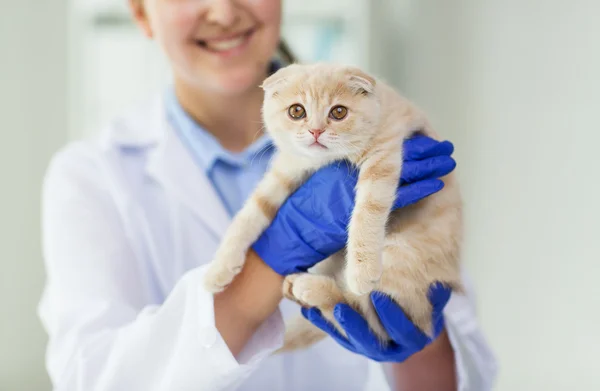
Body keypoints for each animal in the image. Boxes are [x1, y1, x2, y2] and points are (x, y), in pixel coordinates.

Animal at [203, 62, 464, 350]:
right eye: (297, 111)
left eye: (338, 112)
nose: (316, 131)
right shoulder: (287, 169)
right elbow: (250, 214)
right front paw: (219, 269)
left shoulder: (384, 155)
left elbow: (367, 212)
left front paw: (362, 269)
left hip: (401, 258)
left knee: (364, 319)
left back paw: (310, 288)